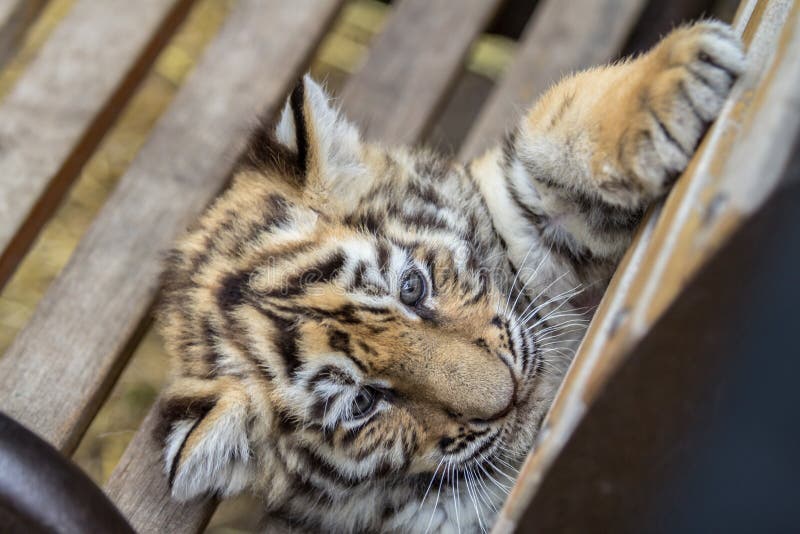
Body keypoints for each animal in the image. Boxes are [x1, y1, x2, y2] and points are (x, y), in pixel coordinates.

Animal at [156, 21, 744, 533]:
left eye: (413, 287)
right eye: (362, 404)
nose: (509, 397)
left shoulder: (513, 205)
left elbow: (556, 125)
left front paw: (683, 71)